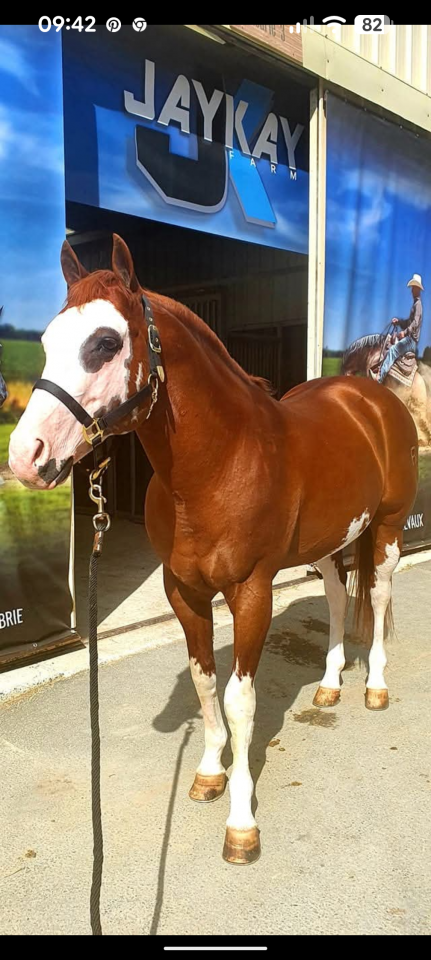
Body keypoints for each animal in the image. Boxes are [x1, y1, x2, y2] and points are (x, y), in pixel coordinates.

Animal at [9, 236, 418, 865]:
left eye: (106, 343)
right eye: (49, 340)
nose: (27, 456)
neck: (220, 463)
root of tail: (370, 397)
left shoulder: (251, 592)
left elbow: (239, 700)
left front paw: (242, 824)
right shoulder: (184, 590)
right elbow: (205, 684)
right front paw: (208, 774)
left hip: (390, 528)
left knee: (377, 594)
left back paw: (374, 687)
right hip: (330, 541)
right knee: (334, 597)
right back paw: (328, 685)